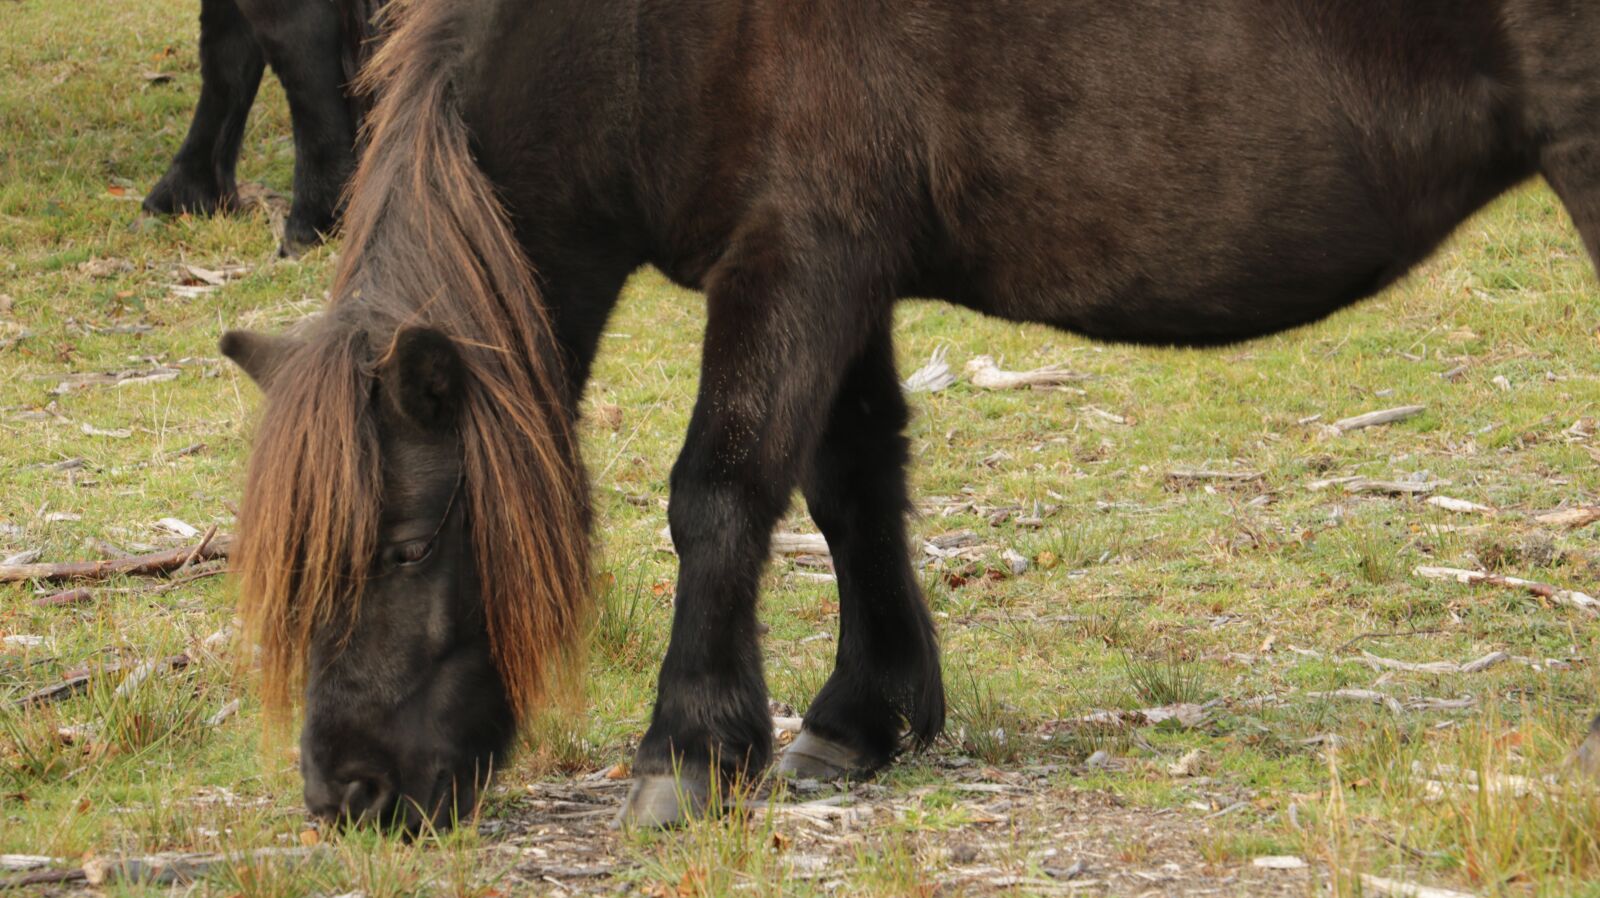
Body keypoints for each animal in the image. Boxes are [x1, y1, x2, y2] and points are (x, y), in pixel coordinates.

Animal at [220, 0, 1600, 831]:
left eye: (404, 547)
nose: (346, 792)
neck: (638, 36)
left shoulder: (794, 257)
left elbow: (721, 492)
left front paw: (687, 749)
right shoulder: (845, 273)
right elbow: (851, 486)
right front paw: (857, 718)